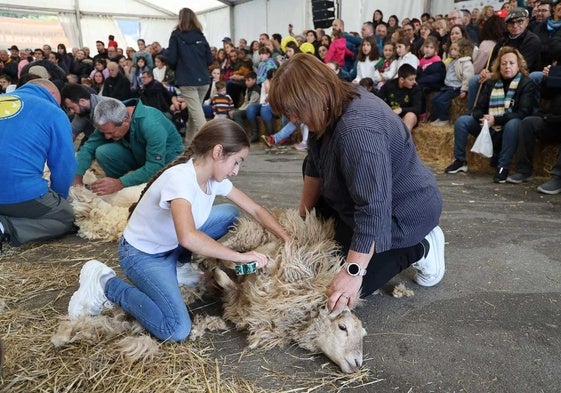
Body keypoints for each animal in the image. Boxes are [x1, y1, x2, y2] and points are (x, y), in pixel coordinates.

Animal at [203, 208, 366, 374]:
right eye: (342, 327)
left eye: (362, 335)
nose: (357, 364)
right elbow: (229, 267)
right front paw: (224, 267)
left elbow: (230, 284)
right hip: (250, 234)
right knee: (226, 244)